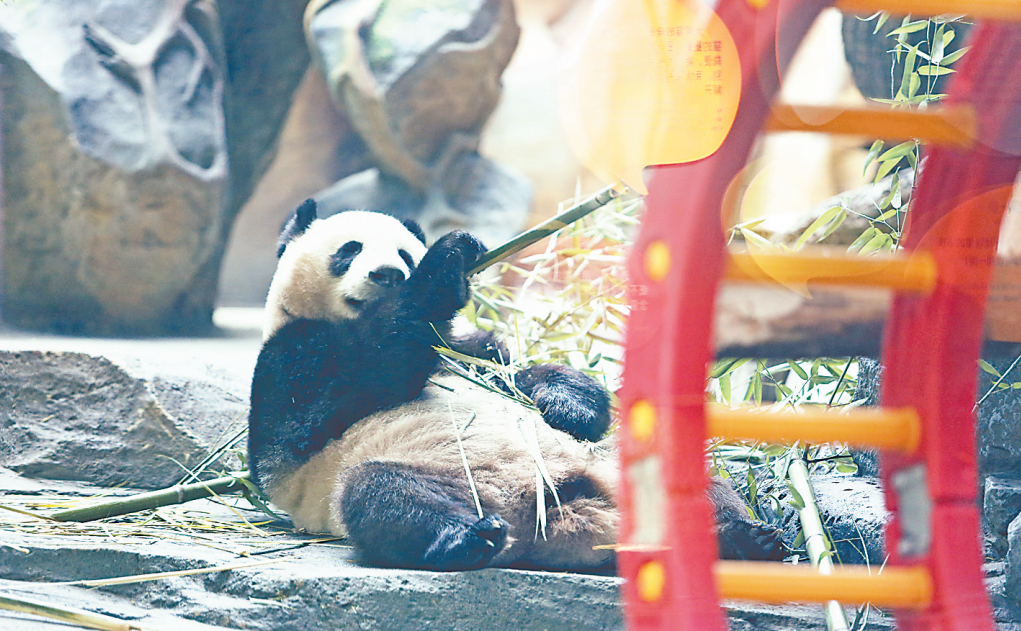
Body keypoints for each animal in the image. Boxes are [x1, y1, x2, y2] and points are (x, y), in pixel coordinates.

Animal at [247, 198, 780, 571]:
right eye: (350, 250)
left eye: (402, 253)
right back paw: (467, 538)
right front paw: (447, 263)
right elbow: (350, 384)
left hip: (615, 466)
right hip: (438, 476)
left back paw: (741, 536)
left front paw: (572, 406)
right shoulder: (289, 358)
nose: (388, 274)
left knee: (697, 479)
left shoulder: (468, 351)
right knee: (381, 494)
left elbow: (516, 374)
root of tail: (571, 517)